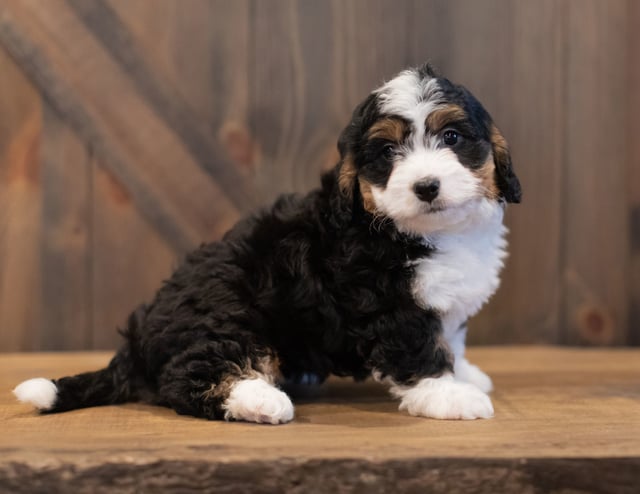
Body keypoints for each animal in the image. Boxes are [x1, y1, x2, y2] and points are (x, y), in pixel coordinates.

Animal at [13, 62, 520, 424]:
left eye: (452, 136)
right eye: (387, 153)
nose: (426, 186)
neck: (418, 230)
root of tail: (137, 342)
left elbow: (449, 336)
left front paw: (464, 373)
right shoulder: (386, 300)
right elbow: (417, 350)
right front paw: (448, 394)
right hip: (225, 314)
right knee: (188, 377)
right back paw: (259, 400)